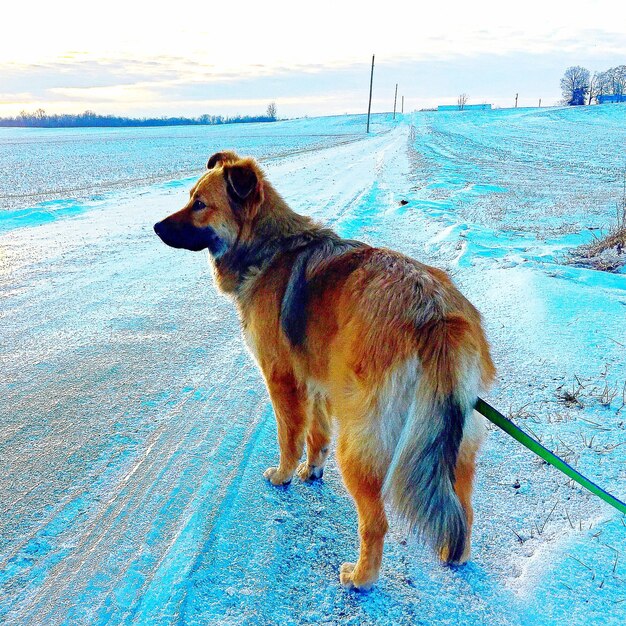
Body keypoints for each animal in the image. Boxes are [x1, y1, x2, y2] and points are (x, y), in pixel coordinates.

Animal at [155, 151, 492, 588]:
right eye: (189, 197)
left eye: (200, 204)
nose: (155, 226)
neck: (268, 248)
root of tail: (434, 315)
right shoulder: (314, 381)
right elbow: (315, 433)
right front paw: (311, 469)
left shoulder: (282, 379)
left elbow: (289, 435)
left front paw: (283, 475)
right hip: (457, 441)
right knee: (463, 508)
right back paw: (456, 554)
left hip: (362, 439)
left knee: (376, 522)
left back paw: (361, 578)